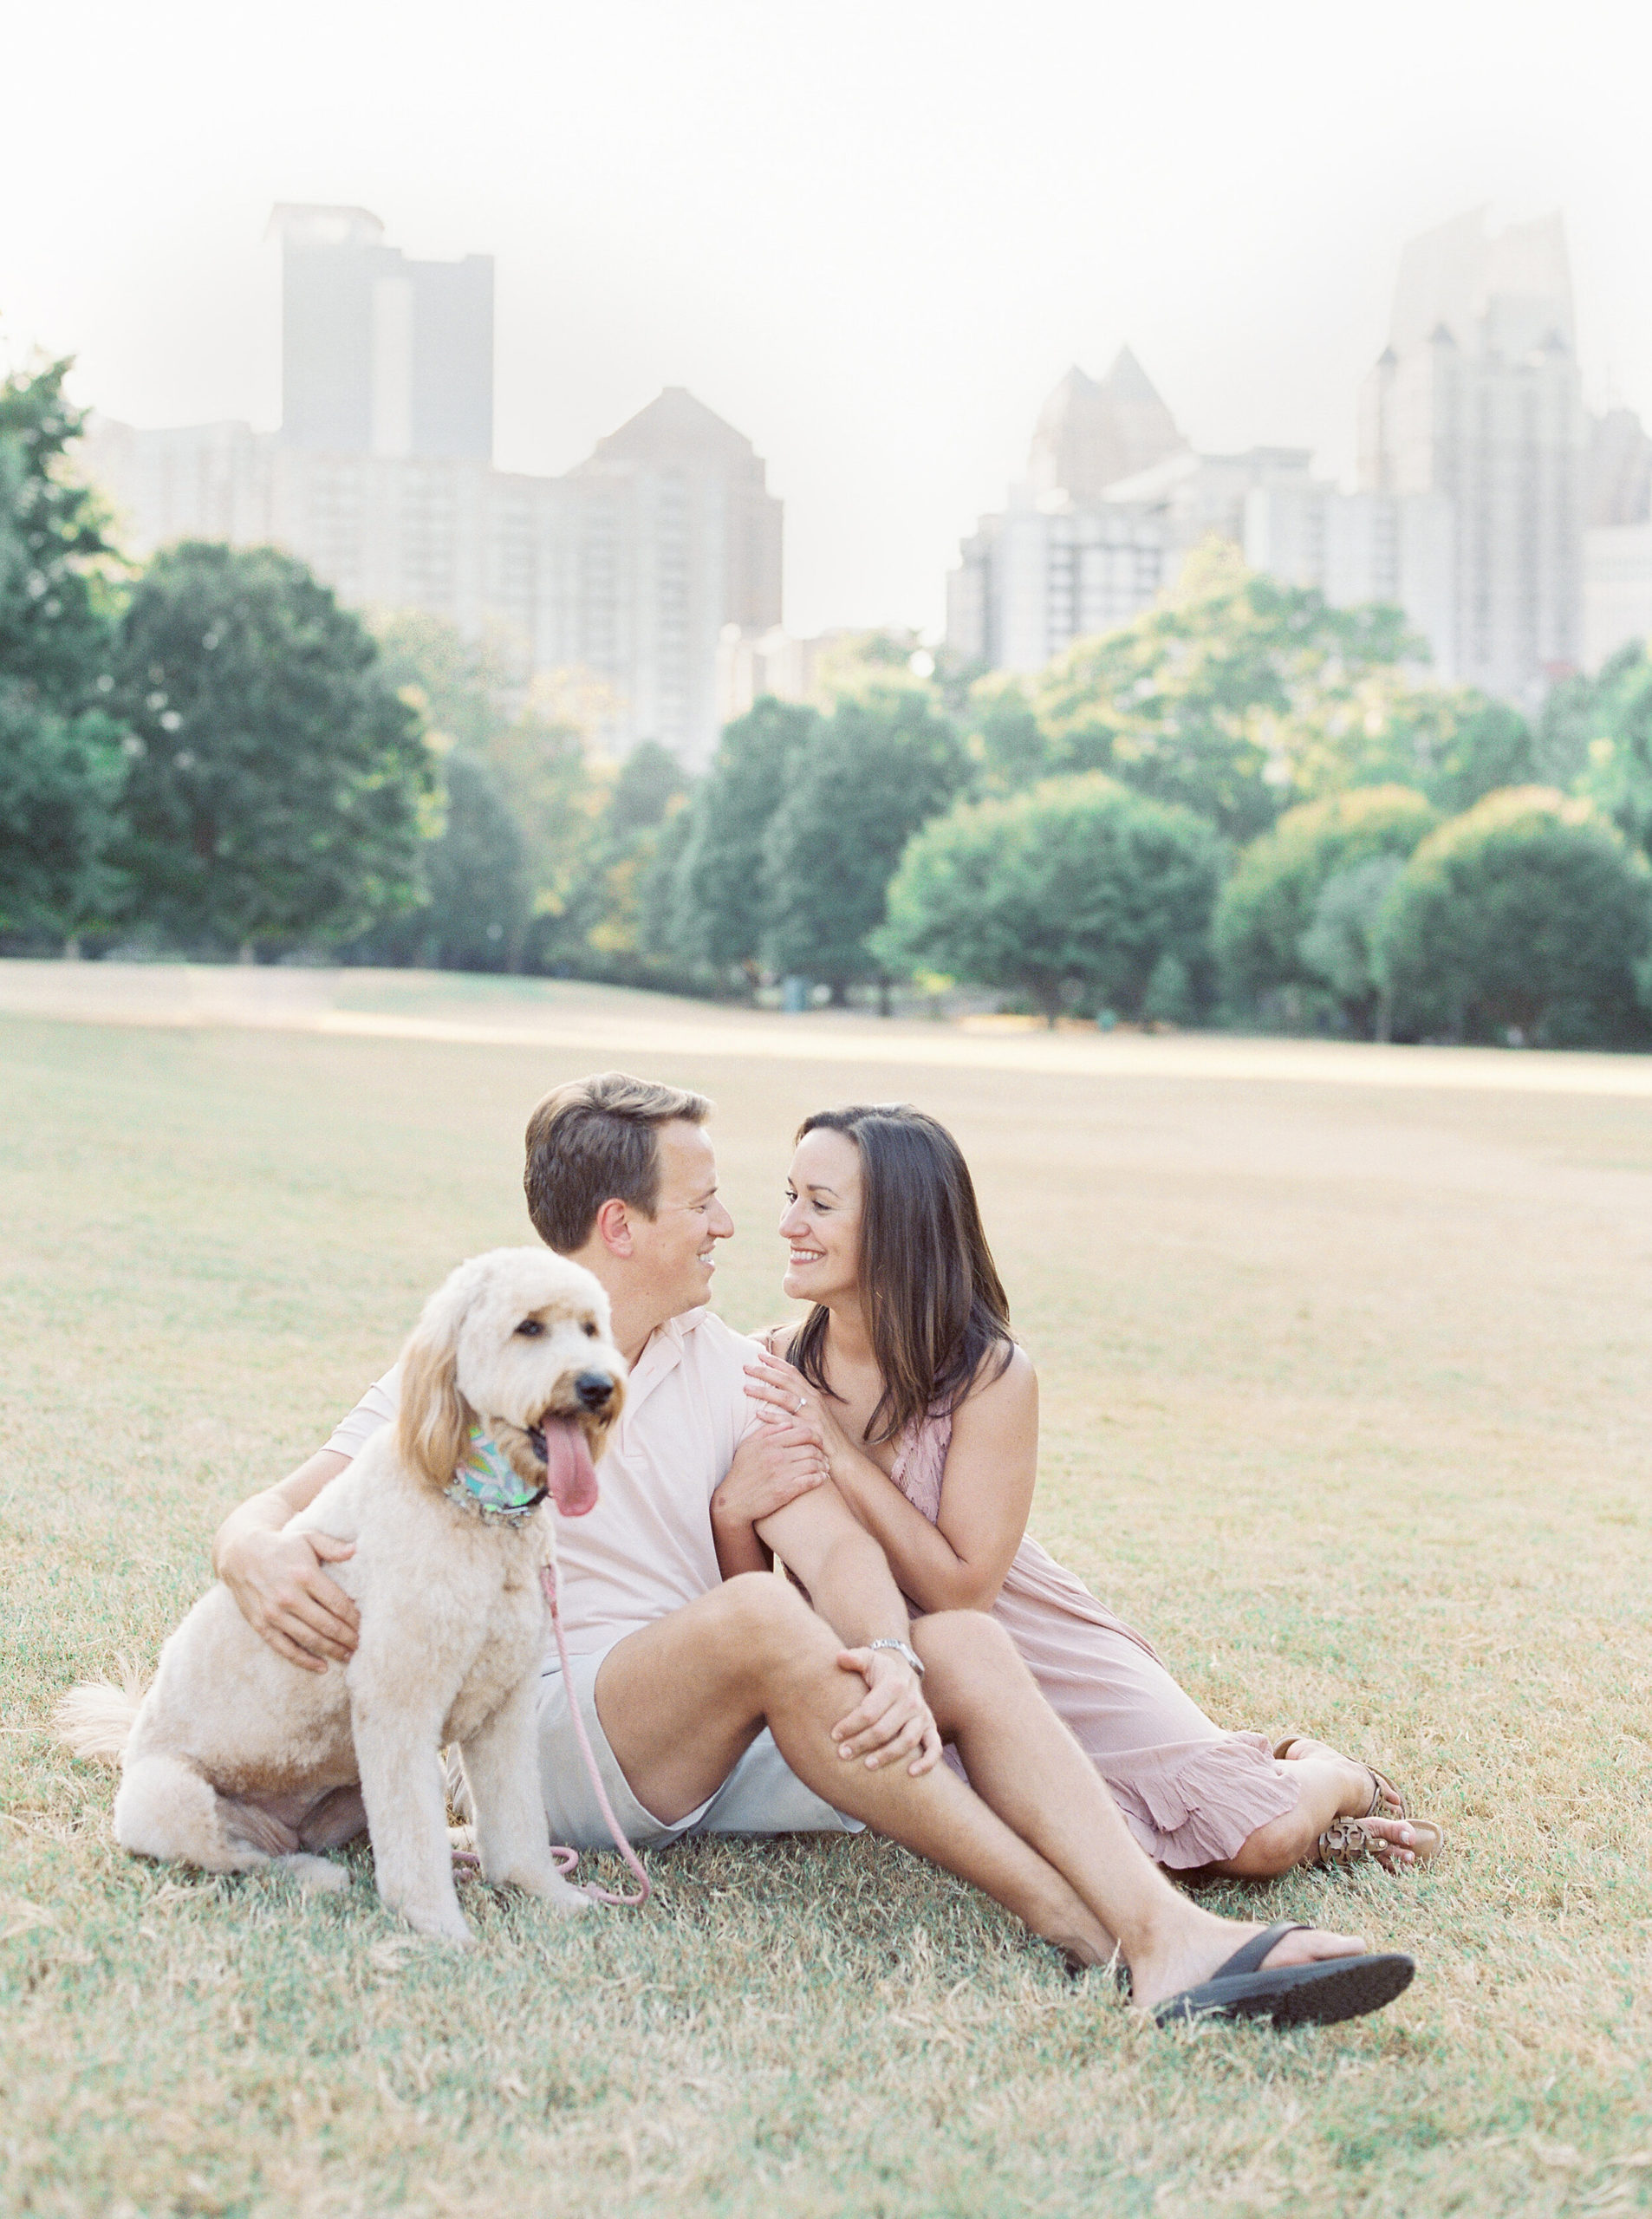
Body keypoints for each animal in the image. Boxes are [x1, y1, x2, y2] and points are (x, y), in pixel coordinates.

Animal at [57, 1251, 625, 1943]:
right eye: (529, 1328)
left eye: (592, 1328)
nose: (597, 1386)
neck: (478, 1506)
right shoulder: (398, 1704)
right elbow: (413, 1838)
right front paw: (437, 1926)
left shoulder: (504, 1706)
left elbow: (517, 1817)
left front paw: (545, 1892)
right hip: (169, 1797)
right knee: (245, 1859)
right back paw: (314, 1876)